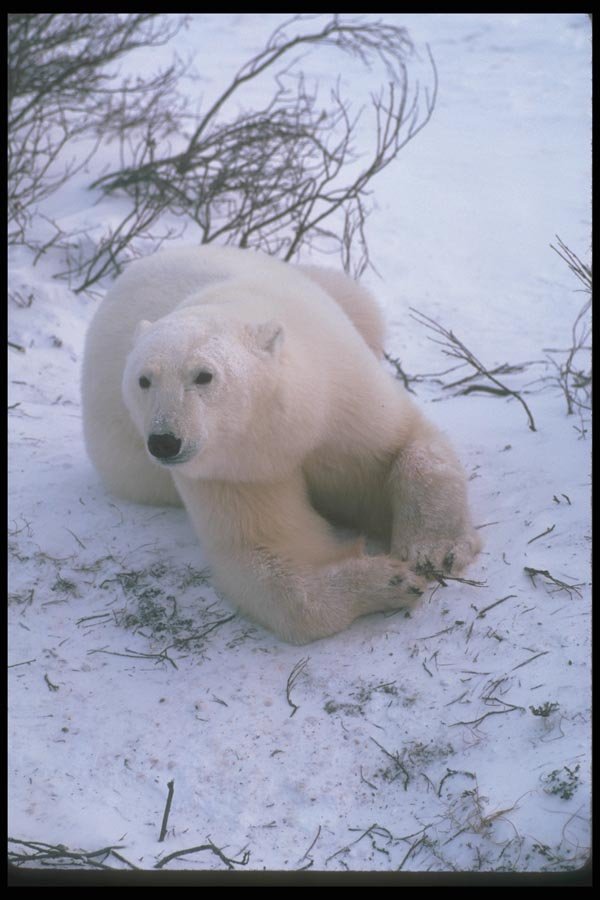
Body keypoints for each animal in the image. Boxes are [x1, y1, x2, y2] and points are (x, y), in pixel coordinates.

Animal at [82, 244, 481, 644]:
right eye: (144, 380)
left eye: (204, 375)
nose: (164, 441)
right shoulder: (238, 470)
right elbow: (273, 550)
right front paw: (387, 581)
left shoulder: (341, 393)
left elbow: (404, 446)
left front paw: (434, 550)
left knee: (360, 303)